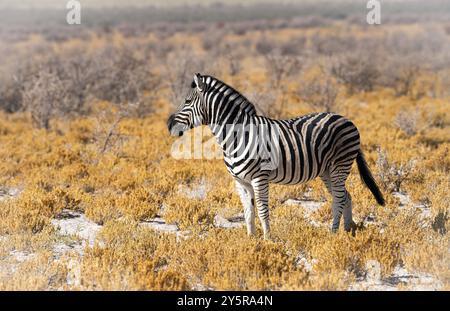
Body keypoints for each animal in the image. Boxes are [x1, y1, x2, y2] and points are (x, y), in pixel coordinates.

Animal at [167, 74, 384, 240]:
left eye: (187, 101)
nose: (169, 125)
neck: (237, 136)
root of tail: (346, 119)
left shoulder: (259, 178)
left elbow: (262, 210)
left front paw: (268, 240)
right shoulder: (240, 181)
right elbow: (248, 212)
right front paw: (250, 240)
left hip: (340, 164)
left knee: (339, 198)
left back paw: (334, 234)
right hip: (327, 171)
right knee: (345, 196)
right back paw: (348, 232)